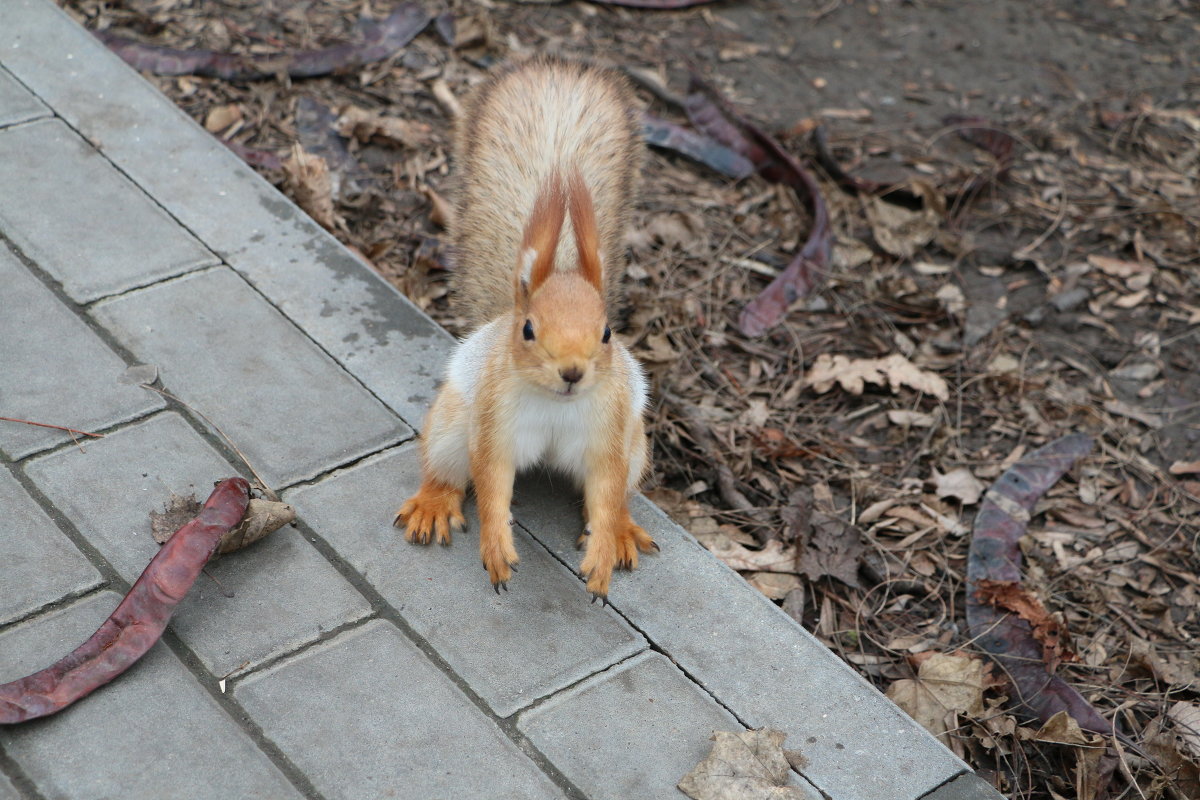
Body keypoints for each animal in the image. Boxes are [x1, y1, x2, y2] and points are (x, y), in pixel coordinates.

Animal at [393, 57, 657, 599]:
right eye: (529, 330)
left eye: (607, 333)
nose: (572, 372)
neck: (558, 405)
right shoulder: (495, 425)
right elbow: (491, 482)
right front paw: (496, 547)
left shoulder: (609, 435)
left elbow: (605, 490)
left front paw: (602, 552)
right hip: (452, 425)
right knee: (445, 469)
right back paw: (434, 503)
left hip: (637, 444)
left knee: (619, 495)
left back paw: (621, 530)